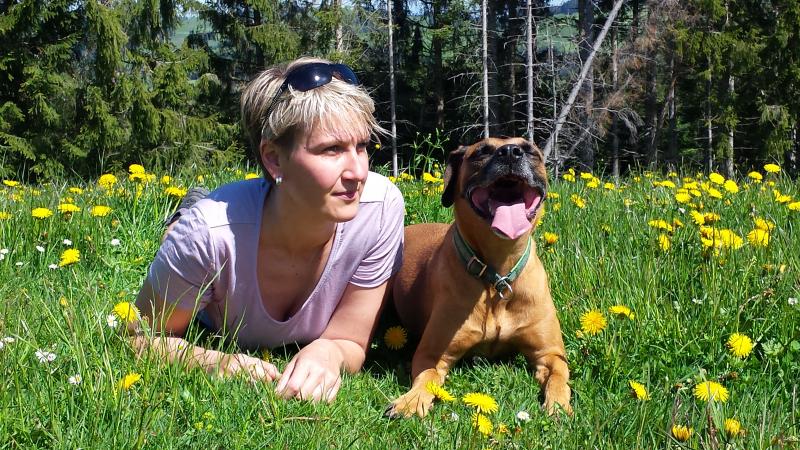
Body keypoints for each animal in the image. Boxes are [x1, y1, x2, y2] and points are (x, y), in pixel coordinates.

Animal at [385, 137, 571, 418]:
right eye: (481, 151)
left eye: (530, 150)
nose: (511, 152)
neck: (498, 276)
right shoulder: (432, 353)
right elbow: (427, 376)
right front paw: (411, 400)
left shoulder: (549, 353)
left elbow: (559, 376)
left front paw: (559, 405)